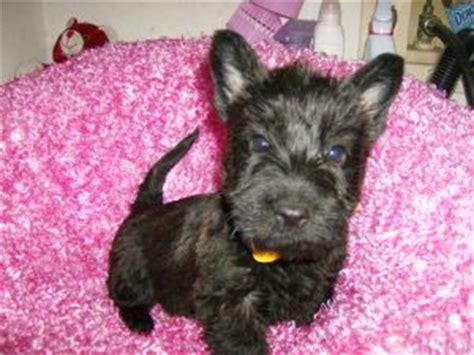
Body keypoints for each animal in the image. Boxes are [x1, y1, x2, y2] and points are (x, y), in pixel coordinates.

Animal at [107, 30, 404, 355]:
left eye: (336, 152)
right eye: (260, 142)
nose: (292, 214)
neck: (281, 257)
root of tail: (144, 209)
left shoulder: (321, 277)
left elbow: (308, 309)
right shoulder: (234, 304)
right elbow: (245, 343)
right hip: (130, 269)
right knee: (123, 295)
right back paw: (139, 320)